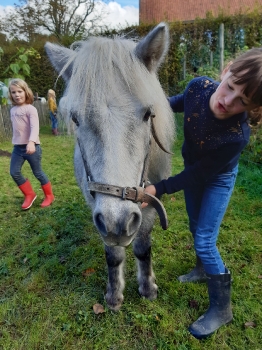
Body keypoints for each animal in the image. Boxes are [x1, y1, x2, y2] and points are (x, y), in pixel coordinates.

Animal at [45, 23, 176, 310]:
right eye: (76, 119)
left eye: (148, 114)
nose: (119, 223)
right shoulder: (102, 213)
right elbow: (113, 254)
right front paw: (114, 296)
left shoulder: (149, 203)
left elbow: (143, 248)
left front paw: (147, 287)